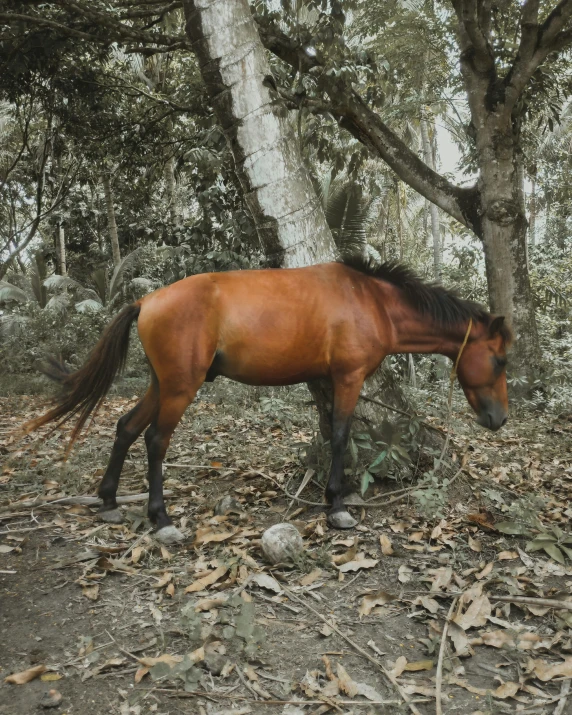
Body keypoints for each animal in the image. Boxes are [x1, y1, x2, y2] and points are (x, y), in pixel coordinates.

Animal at [24, 260, 512, 544]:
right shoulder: (348, 378)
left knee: (126, 427)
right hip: (180, 388)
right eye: (501, 360)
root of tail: (146, 300)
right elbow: (340, 435)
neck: (373, 301)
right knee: (156, 440)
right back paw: (161, 519)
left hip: (161, 384)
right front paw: (336, 506)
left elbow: (332, 432)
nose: (499, 418)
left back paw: (109, 501)